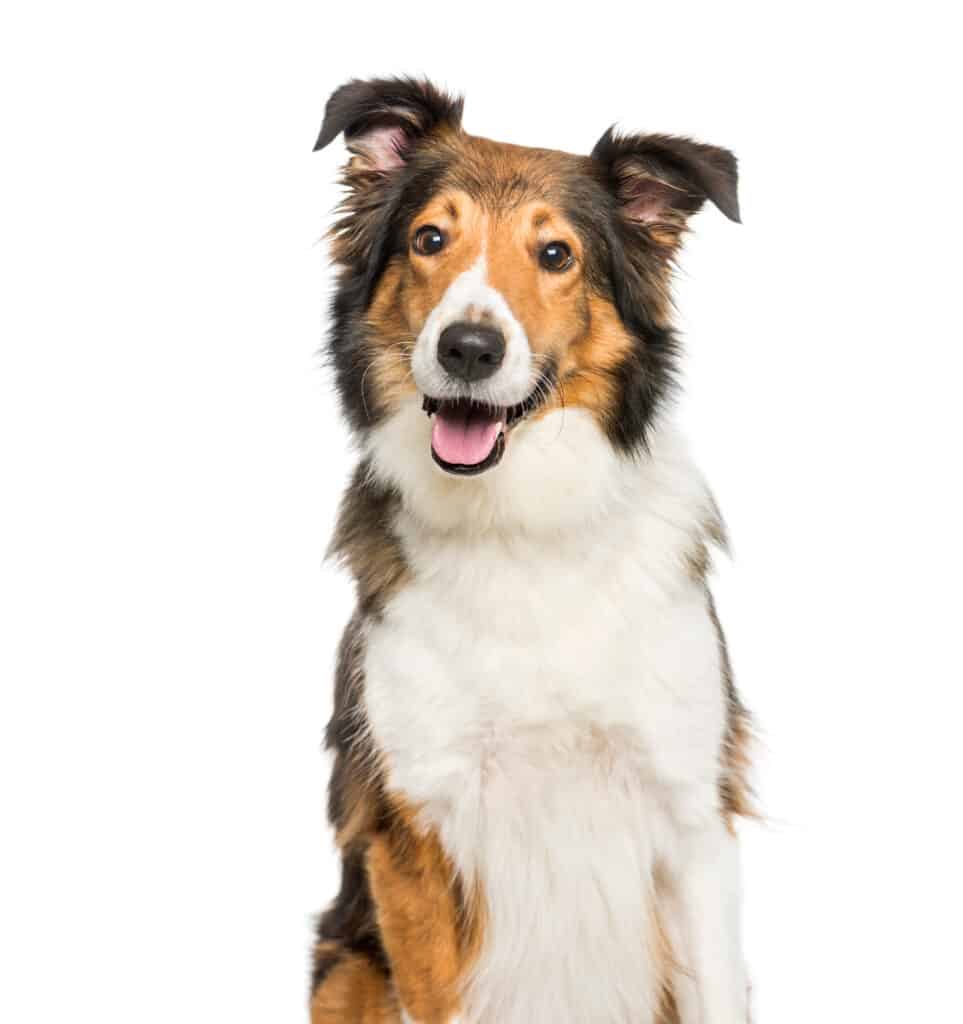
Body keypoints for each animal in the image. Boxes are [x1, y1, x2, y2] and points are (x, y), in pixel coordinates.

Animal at [309, 75, 754, 1019]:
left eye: (555, 254)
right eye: (429, 239)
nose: (468, 349)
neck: (520, 524)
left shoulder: (692, 818)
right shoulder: (412, 830)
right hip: (345, 959)